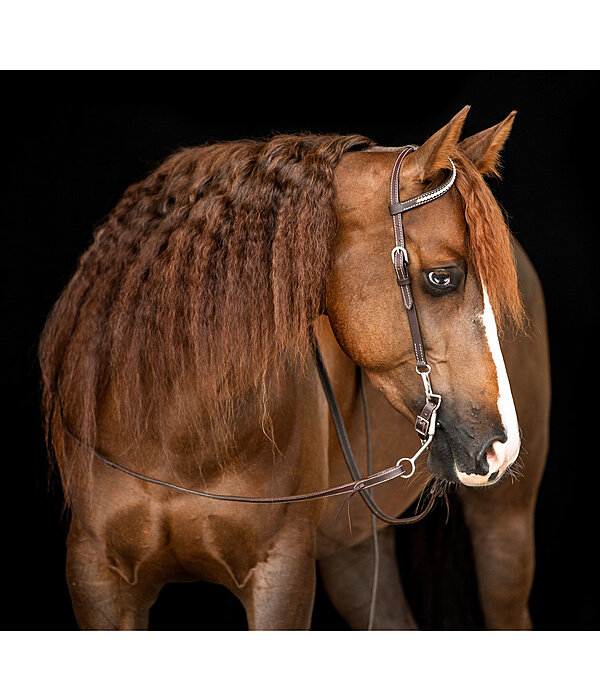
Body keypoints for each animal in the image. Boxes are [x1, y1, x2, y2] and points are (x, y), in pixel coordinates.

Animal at [39, 106, 552, 632]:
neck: (169, 428)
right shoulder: (97, 575)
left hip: (504, 531)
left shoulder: (282, 573)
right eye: (442, 277)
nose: (501, 447)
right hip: (355, 552)